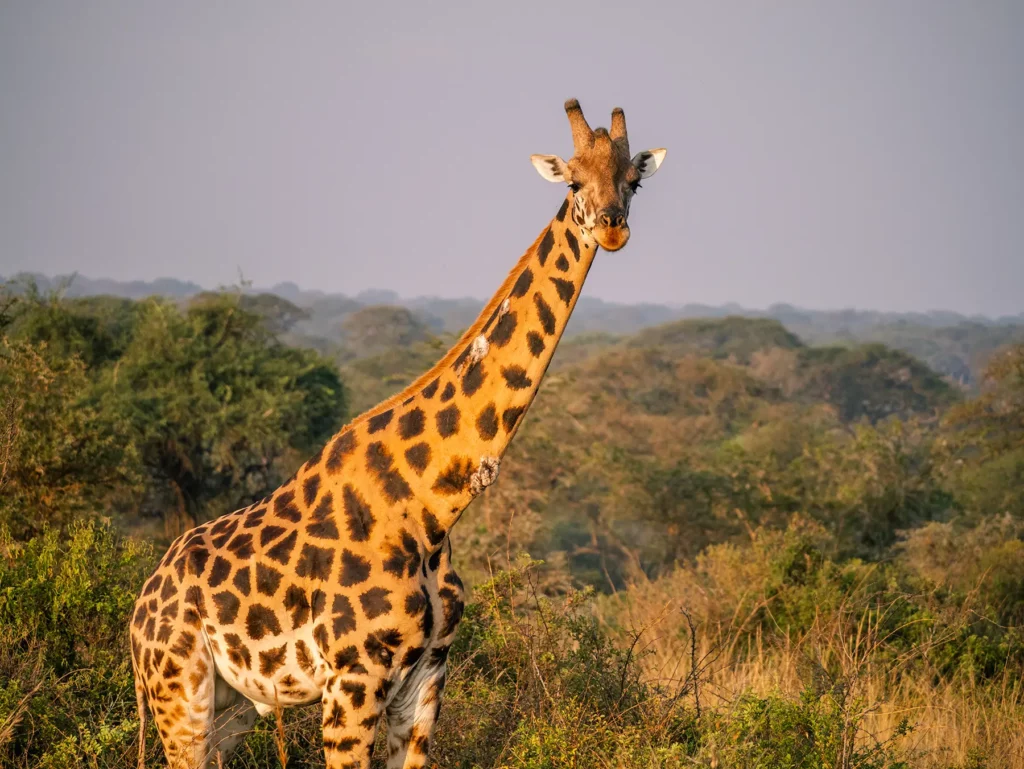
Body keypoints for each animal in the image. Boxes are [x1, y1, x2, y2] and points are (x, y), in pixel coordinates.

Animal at [129, 99, 666, 769]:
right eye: (572, 181)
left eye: (633, 181)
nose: (612, 228)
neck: (431, 506)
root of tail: (137, 613)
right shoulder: (354, 679)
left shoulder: (427, 674)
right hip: (181, 693)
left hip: (232, 709)